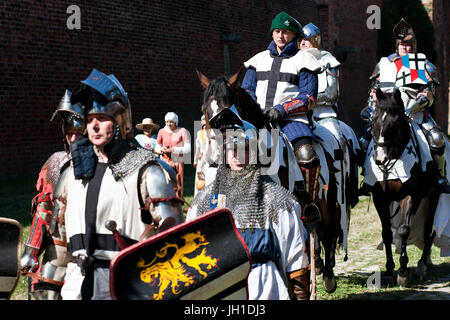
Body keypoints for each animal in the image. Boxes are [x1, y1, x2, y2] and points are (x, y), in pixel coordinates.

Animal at [196, 67, 344, 292]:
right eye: (205, 109)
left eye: (227, 112)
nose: (213, 156)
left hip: (327, 200)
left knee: (327, 232)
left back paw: (328, 277)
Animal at [364, 89, 438, 286]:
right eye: (373, 120)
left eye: (396, 123)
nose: (379, 158)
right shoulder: (380, 198)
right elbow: (386, 233)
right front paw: (390, 270)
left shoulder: (411, 195)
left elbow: (404, 230)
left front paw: (403, 271)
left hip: (433, 195)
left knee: (429, 230)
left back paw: (422, 264)